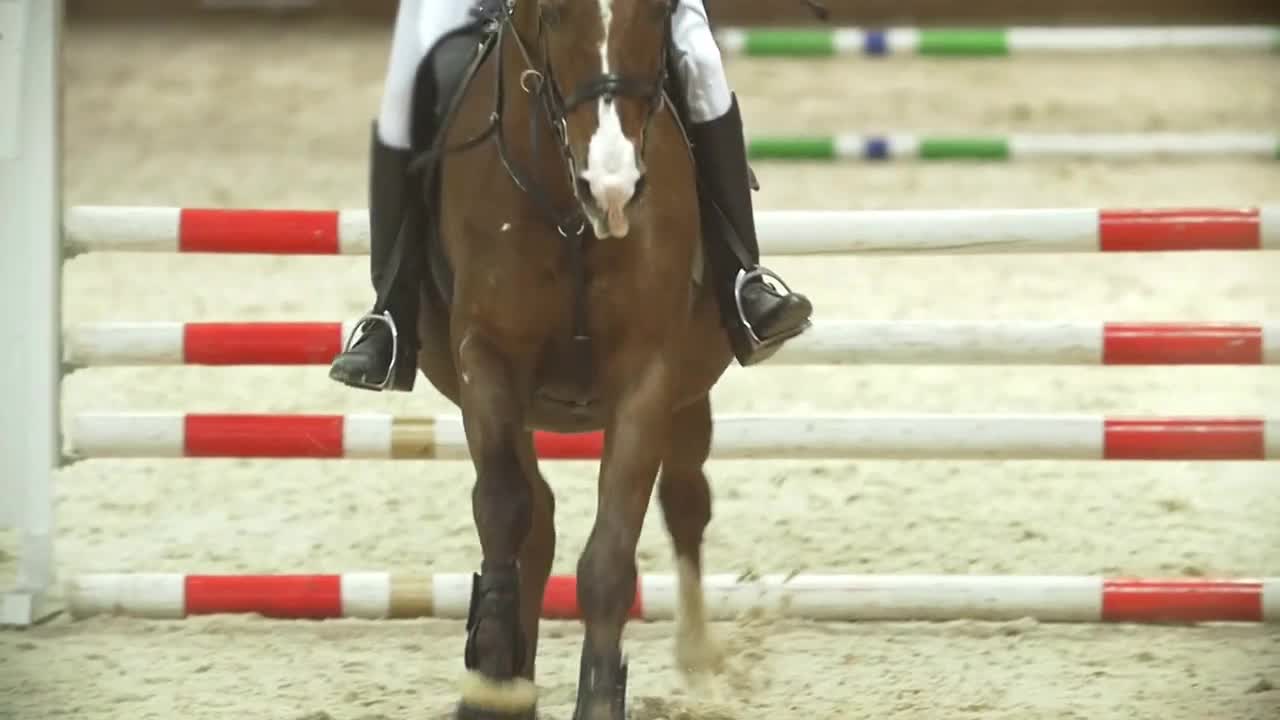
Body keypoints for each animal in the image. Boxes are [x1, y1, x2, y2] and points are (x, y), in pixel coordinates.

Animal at [404, 1, 737, 717]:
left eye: (659, 12)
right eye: (554, 14)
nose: (611, 187)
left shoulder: (648, 376)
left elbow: (609, 556)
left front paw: (600, 695)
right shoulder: (486, 357)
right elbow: (504, 508)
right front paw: (492, 673)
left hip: (690, 390)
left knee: (686, 501)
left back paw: (699, 657)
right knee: (537, 522)